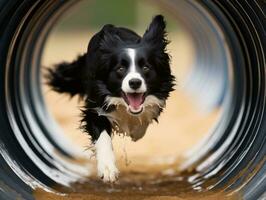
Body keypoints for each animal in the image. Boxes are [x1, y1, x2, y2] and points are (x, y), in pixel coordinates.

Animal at [46, 14, 175, 183]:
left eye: (146, 67)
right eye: (120, 68)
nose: (135, 82)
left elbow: (142, 122)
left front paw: (134, 129)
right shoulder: (95, 108)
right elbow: (103, 137)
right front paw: (107, 170)